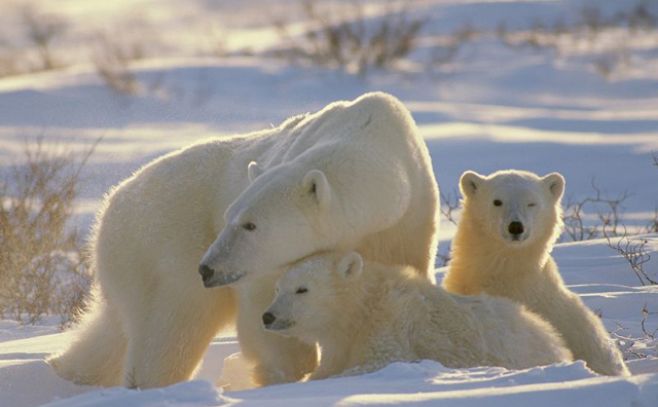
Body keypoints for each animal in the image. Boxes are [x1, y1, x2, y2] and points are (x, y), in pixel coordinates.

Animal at [48, 91, 438, 388]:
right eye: (229, 217)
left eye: (250, 225)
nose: (207, 268)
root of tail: (110, 205)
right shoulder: (264, 266)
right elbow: (264, 307)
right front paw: (287, 369)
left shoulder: (408, 223)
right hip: (163, 247)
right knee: (172, 328)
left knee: (113, 330)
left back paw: (65, 369)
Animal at [262, 250, 568, 380]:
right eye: (277, 288)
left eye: (302, 289)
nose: (268, 316)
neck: (363, 307)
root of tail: (555, 340)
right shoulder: (339, 342)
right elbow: (328, 366)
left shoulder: (391, 323)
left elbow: (381, 361)